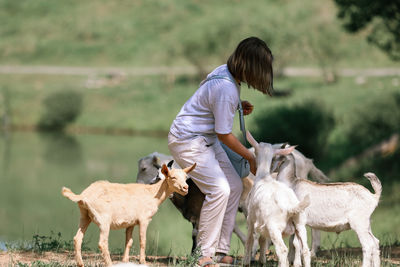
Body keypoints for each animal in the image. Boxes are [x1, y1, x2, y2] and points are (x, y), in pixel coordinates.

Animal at [61, 163, 197, 267]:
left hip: (85, 215)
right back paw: (109, 264)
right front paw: (143, 262)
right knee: (102, 243)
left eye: (186, 177)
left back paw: (81, 264)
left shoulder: (131, 221)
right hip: (104, 218)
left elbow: (129, 241)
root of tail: (83, 196)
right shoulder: (144, 219)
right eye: (172, 177)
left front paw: (125, 261)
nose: (185, 188)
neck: (152, 194)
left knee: (77, 238)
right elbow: (142, 240)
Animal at [244, 132, 312, 267]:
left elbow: (249, 241)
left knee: (282, 250)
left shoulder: (251, 218)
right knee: (306, 251)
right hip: (300, 225)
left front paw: (246, 262)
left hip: (274, 227)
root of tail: (291, 207)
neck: (264, 177)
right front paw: (262, 261)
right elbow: (262, 240)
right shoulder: (262, 224)